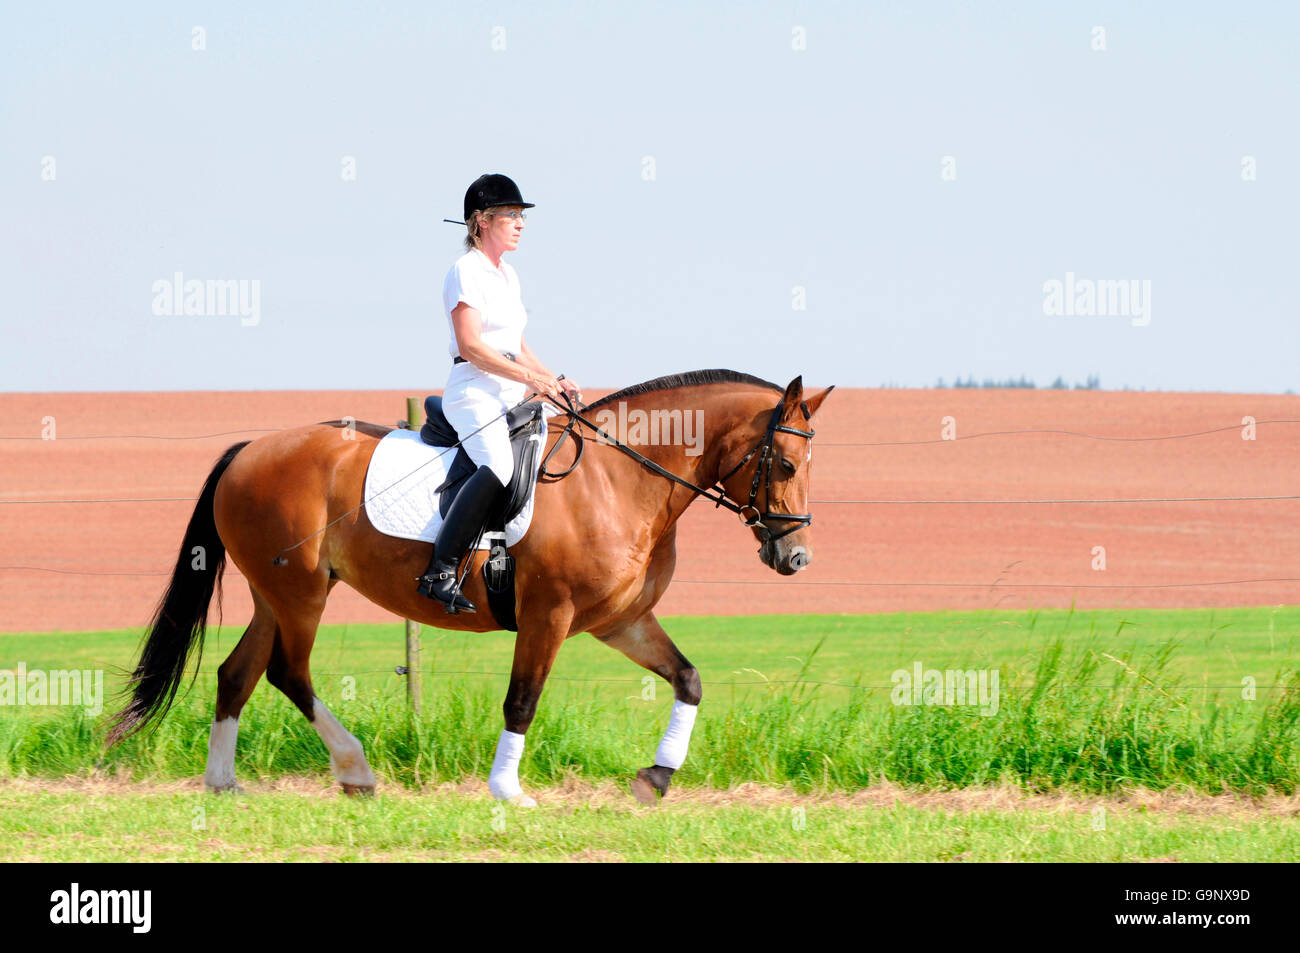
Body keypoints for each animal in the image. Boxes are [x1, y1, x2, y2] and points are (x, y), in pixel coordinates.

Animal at [108, 369, 834, 805]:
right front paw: (508, 791)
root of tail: (250, 449)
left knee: (238, 673)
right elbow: (522, 701)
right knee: (289, 672)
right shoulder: (549, 614)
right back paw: (354, 769)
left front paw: (655, 777)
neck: (621, 479)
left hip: (274, 594)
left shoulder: (619, 620)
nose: (796, 556)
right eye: (785, 464)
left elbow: (689, 679)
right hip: (302, 594)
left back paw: (222, 783)